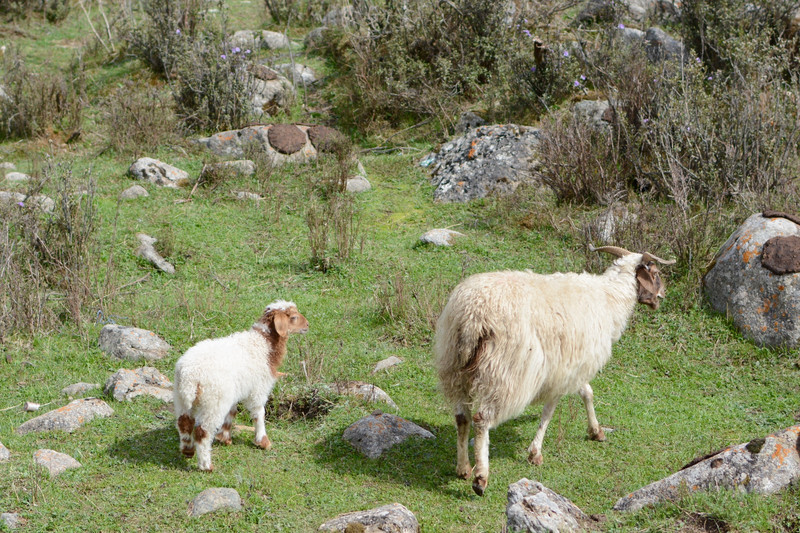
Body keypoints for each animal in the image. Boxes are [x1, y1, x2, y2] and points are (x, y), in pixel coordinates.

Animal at [173, 300, 308, 470]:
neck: (264, 344)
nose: (307, 325)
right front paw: (263, 441)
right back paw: (206, 465)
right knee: (202, 432)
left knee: (184, 422)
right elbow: (259, 413)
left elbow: (232, 412)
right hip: (213, 401)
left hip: (181, 398)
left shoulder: (236, 390)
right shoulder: (259, 388)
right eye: (294, 317)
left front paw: (224, 437)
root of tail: (190, 376)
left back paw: (188, 451)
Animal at [434, 245, 672, 494]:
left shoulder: (573, 365)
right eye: (655, 273)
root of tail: (474, 315)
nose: (662, 295)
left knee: (462, 418)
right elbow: (550, 411)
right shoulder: (562, 370)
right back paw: (480, 478)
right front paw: (535, 453)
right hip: (504, 373)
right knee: (481, 419)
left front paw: (595, 431)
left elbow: (586, 392)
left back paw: (463, 468)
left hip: (454, 366)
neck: (610, 298)